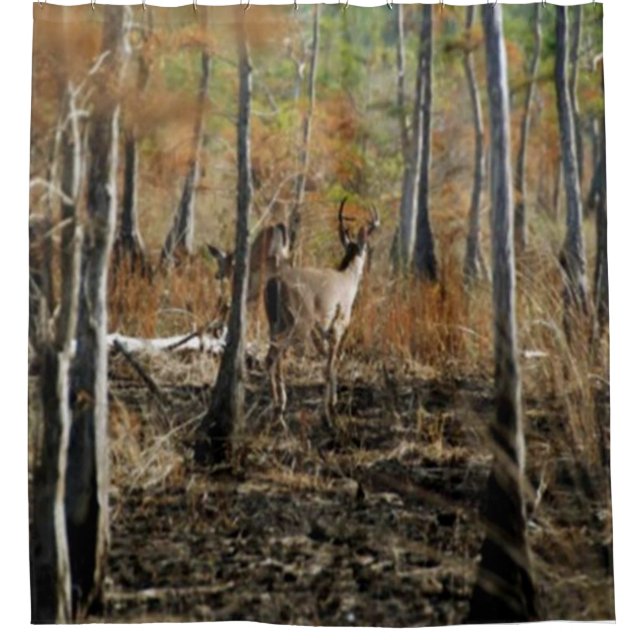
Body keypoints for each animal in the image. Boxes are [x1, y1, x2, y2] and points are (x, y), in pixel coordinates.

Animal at [264, 197, 380, 427]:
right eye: (367, 248)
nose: (370, 263)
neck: (347, 278)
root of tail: (274, 283)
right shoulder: (338, 325)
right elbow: (330, 364)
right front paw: (329, 412)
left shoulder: (321, 331)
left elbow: (329, 362)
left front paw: (332, 403)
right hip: (298, 322)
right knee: (272, 356)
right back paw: (278, 413)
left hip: (274, 322)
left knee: (276, 356)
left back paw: (280, 407)